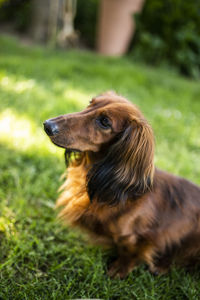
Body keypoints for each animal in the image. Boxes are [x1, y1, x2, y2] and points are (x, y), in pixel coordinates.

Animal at [43, 92, 200, 278]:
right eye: (90, 103)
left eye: (105, 121)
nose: (47, 125)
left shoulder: (138, 237)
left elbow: (130, 253)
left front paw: (119, 270)